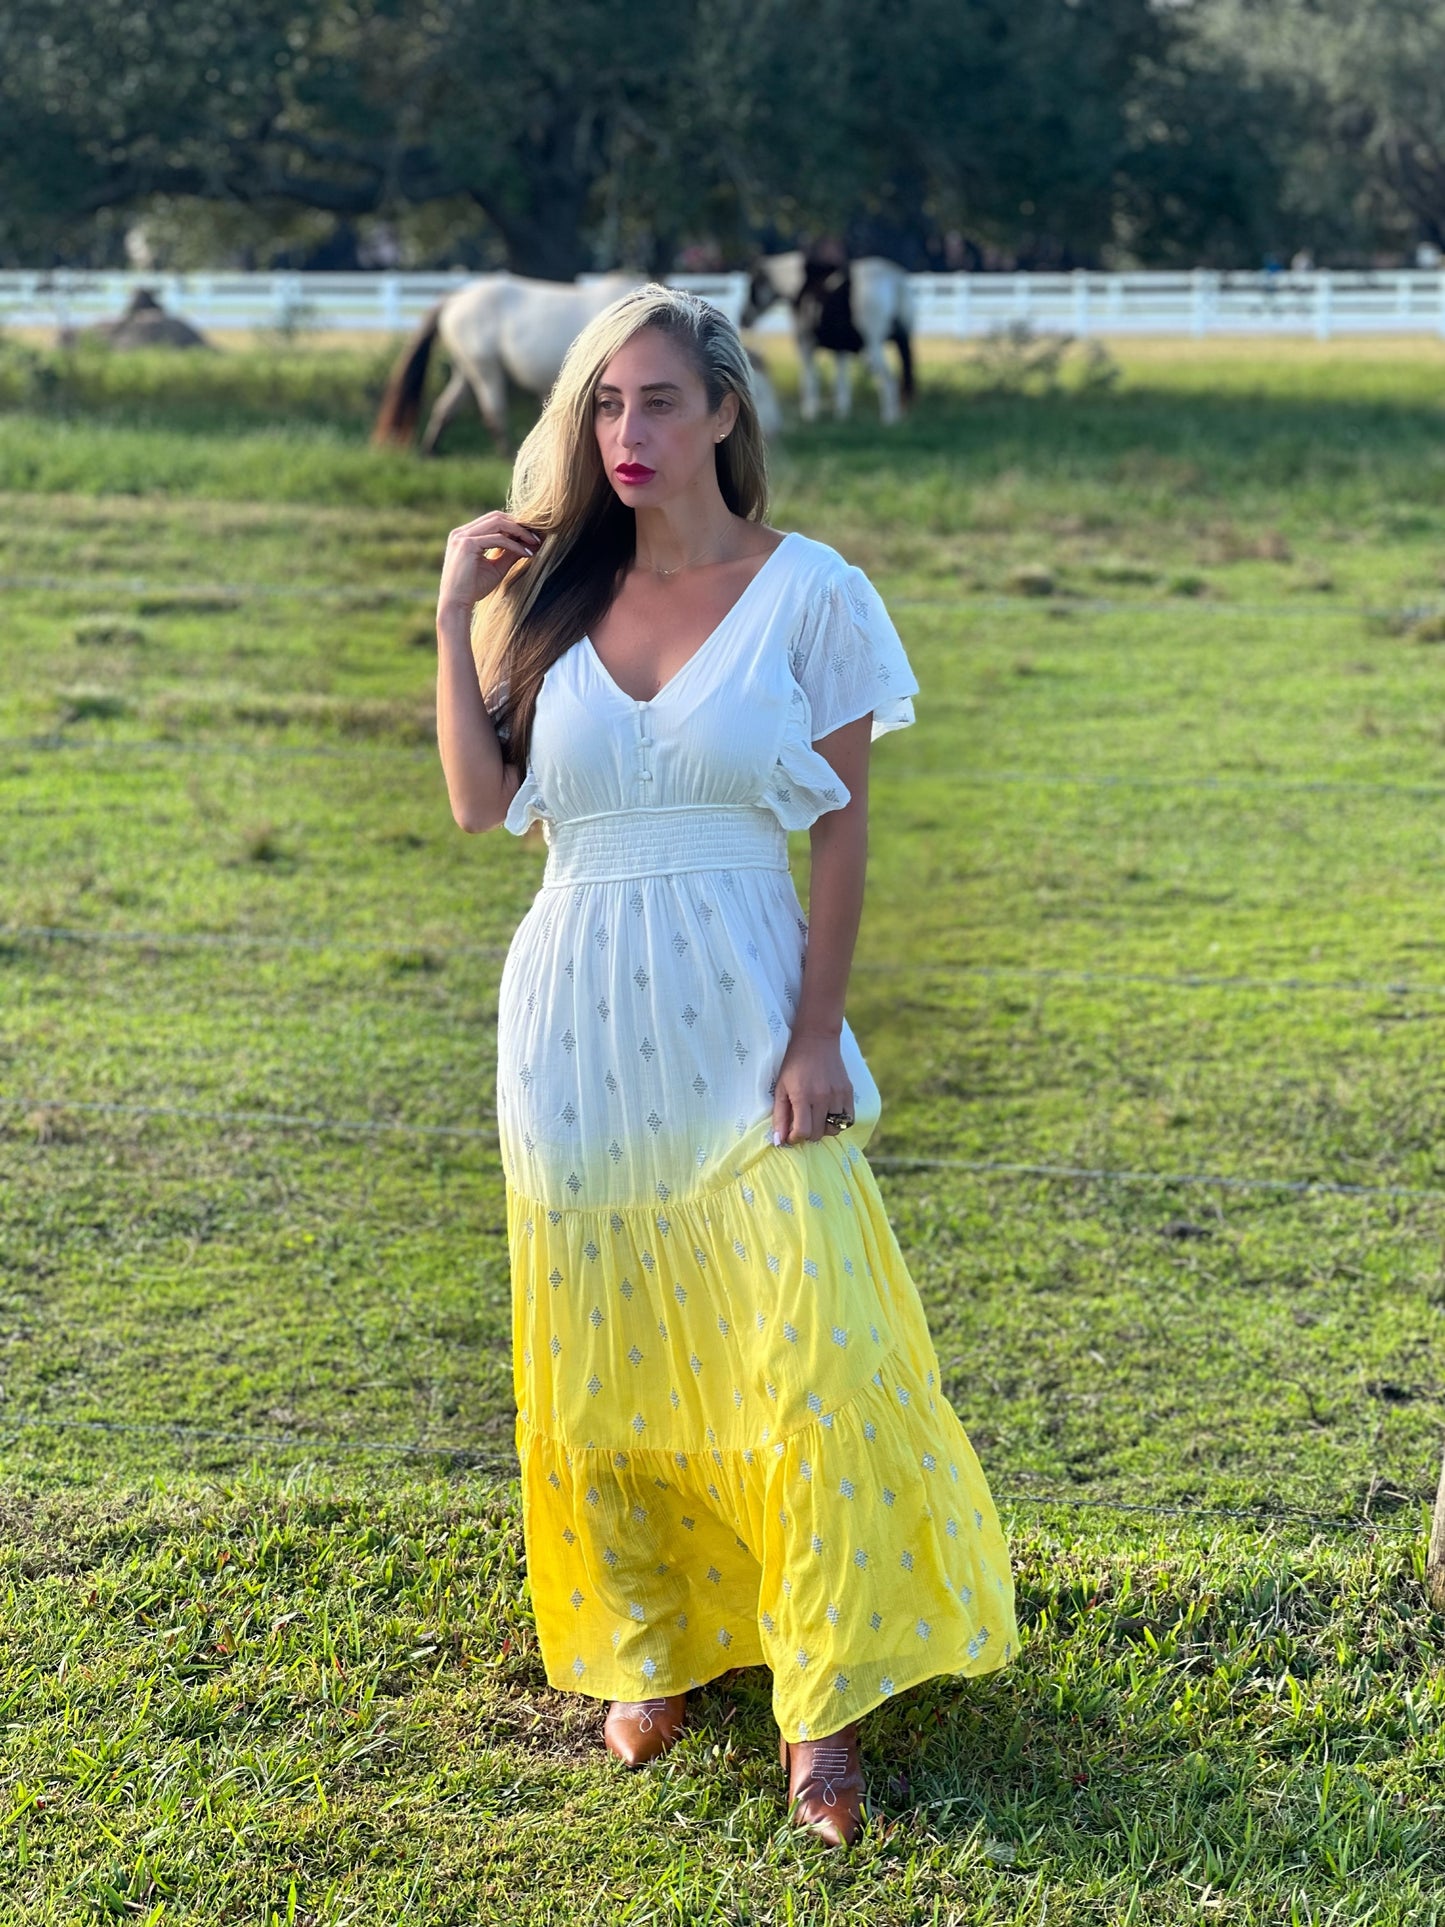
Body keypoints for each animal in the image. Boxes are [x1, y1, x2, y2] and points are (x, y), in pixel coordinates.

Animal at [373, 271, 782, 454]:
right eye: (757, 389)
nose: (774, 429)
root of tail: (456, 297)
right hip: (485, 370)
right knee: (493, 411)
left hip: (468, 370)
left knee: (447, 406)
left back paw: (429, 451)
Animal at [747, 250, 917, 423]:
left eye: (752, 286)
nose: (745, 318)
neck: (801, 285)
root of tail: (895, 281)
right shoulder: (840, 349)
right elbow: (841, 381)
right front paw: (842, 413)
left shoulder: (805, 343)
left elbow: (810, 377)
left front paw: (810, 412)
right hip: (900, 341)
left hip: (873, 344)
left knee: (889, 379)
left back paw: (889, 418)